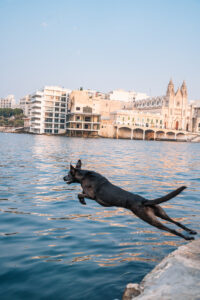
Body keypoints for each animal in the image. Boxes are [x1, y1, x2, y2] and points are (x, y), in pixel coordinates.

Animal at [64, 159, 197, 241]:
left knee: (172, 229)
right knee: (176, 222)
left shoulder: (92, 196)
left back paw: (187, 238)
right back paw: (191, 232)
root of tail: (144, 201)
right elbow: (80, 193)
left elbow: (79, 194)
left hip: (149, 219)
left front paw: (82, 201)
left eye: (68, 174)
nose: (63, 178)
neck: (83, 176)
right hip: (160, 213)